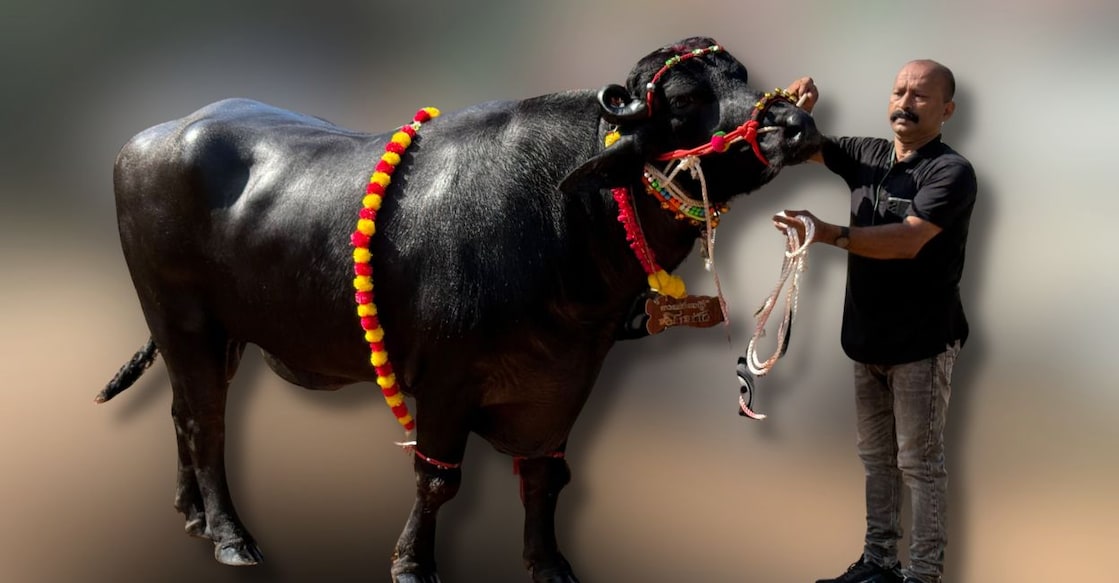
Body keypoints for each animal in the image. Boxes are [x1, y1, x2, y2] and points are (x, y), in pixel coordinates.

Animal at [100, 36, 821, 582]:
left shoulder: (564, 383)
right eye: (685, 100)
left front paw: (549, 564)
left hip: (213, 335)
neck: (566, 220)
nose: (796, 124)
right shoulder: (448, 381)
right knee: (207, 424)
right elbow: (436, 479)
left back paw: (192, 513)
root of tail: (151, 138)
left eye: (740, 77)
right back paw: (230, 535)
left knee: (183, 412)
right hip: (183, 320)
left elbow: (546, 476)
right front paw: (413, 566)